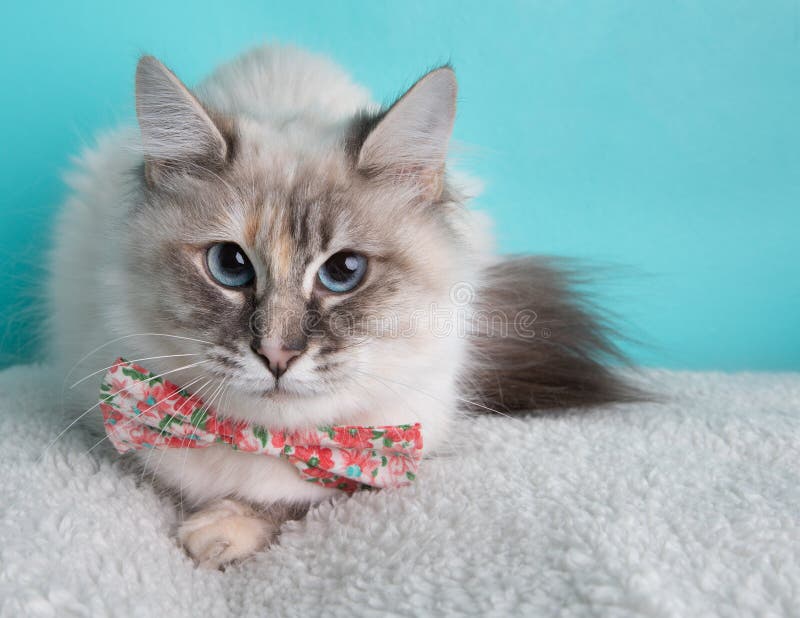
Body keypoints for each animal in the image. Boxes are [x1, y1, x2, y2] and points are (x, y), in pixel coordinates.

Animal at [50, 44, 636, 568]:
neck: (267, 442)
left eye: (343, 271)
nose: (277, 354)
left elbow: (301, 499)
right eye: (230, 265)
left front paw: (222, 531)